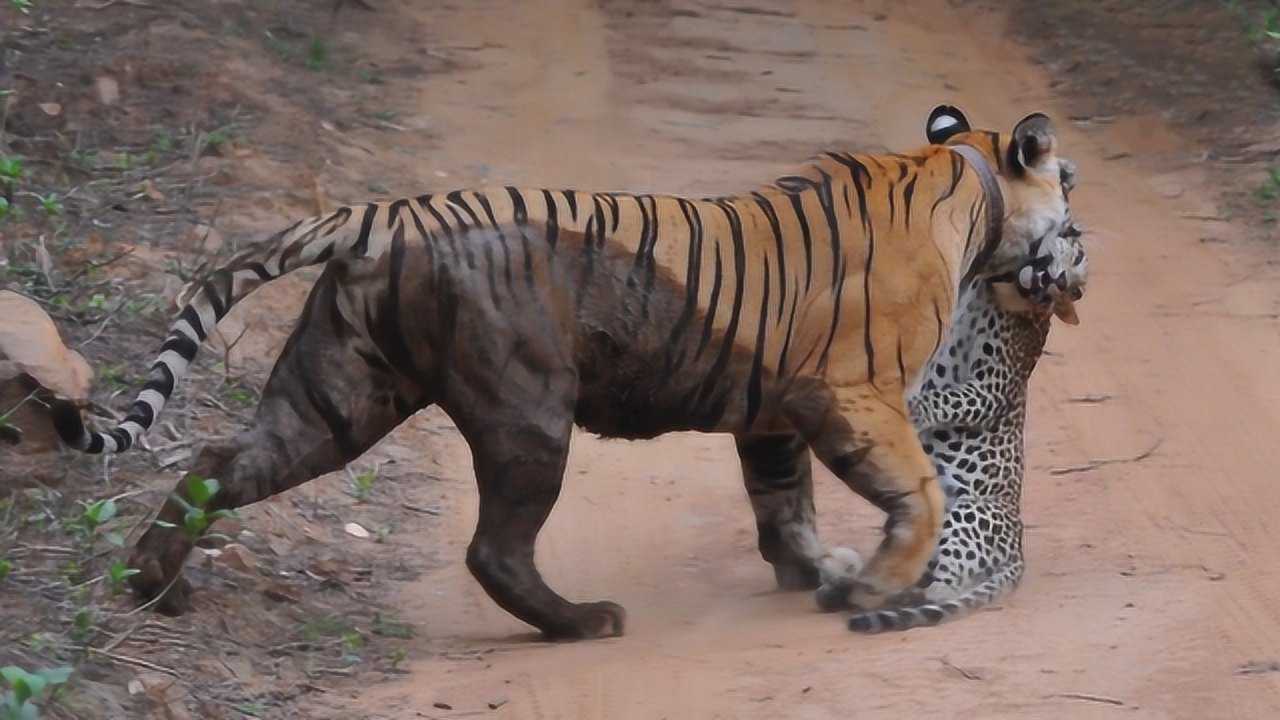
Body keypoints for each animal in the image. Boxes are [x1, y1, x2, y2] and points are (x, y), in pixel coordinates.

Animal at [52, 103, 1080, 635]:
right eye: (1067, 191)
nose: (1076, 253)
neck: (968, 182)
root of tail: (384, 215)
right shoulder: (853, 393)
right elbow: (920, 494)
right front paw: (871, 585)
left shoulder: (774, 411)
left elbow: (783, 500)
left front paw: (816, 568)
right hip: (526, 416)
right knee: (494, 547)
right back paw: (584, 620)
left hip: (337, 396)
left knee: (218, 463)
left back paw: (157, 586)